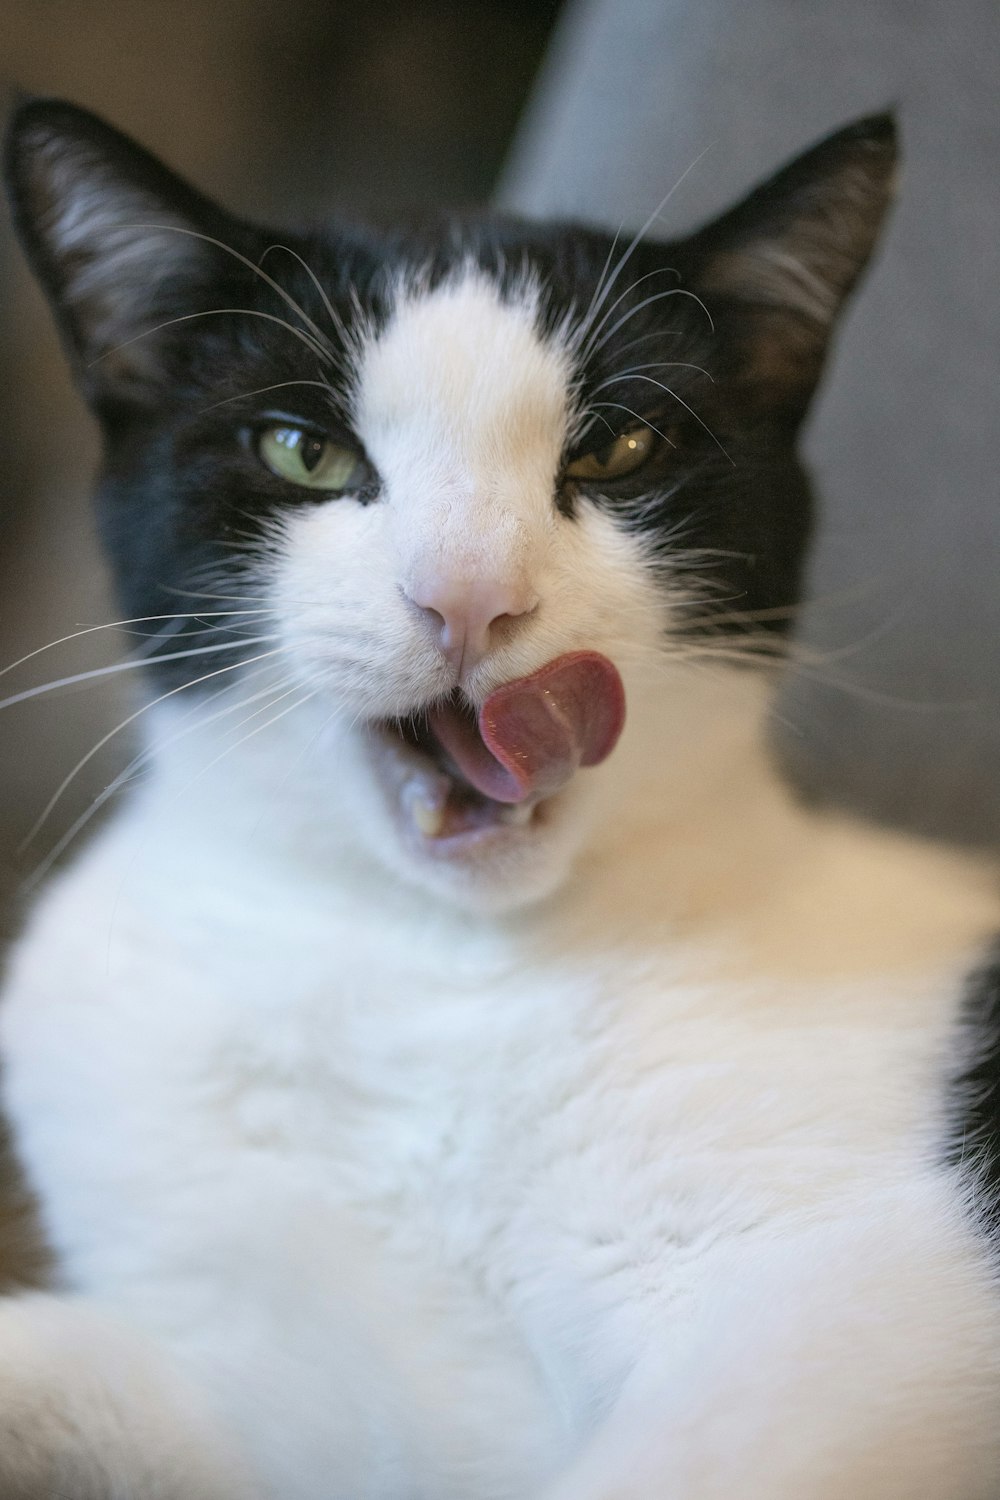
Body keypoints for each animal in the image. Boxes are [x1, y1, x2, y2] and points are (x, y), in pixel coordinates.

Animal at [1, 96, 1000, 1500]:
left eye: (620, 446)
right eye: (304, 450)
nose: (468, 594)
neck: (429, 975)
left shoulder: (867, 1296)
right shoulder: (265, 1398)